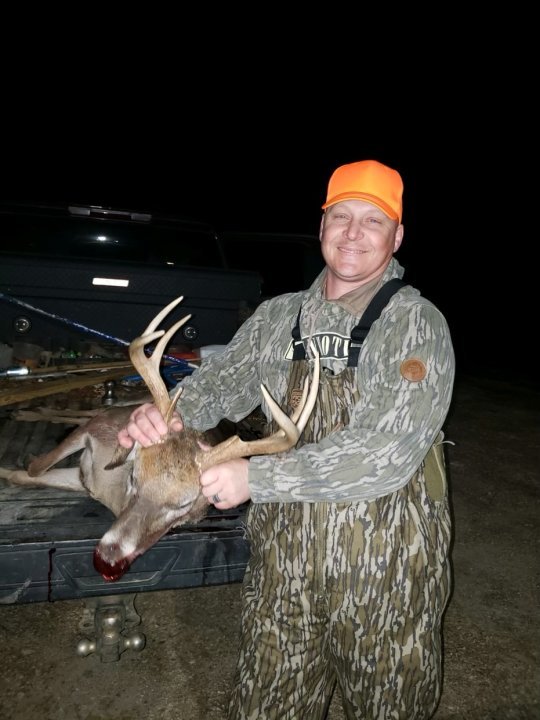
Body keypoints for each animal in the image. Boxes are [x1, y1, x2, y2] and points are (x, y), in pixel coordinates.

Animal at [0, 296, 320, 583]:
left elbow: (26, 475)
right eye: (134, 478)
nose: (107, 560)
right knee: (87, 411)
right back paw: (28, 411)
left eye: (183, 505)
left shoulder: (82, 478)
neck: (108, 490)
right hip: (116, 410)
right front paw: (22, 457)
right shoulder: (97, 431)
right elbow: (35, 468)